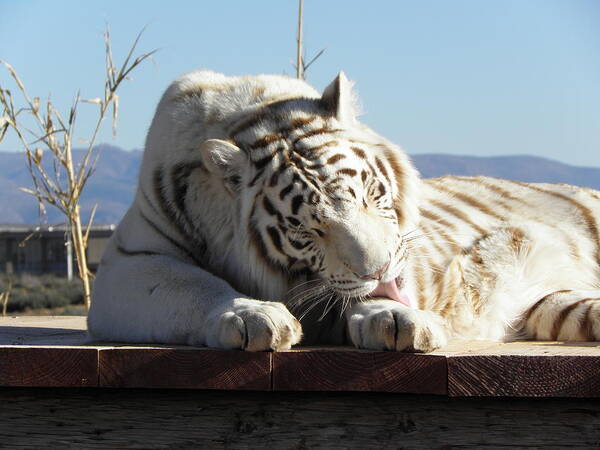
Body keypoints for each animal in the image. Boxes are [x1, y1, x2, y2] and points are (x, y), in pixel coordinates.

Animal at [88, 70, 600, 352]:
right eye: (308, 229)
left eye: (372, 194)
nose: (380, 270)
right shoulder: (127, 264)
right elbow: (191, 285)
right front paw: (254, 317)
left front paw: (399, 321)